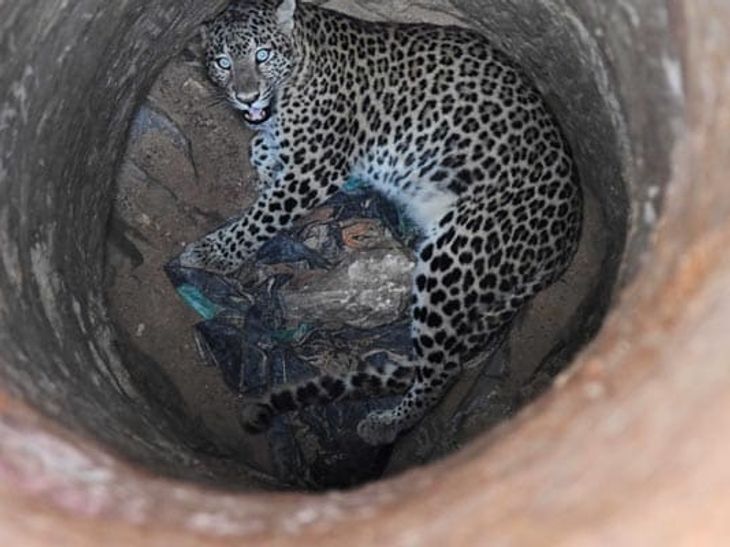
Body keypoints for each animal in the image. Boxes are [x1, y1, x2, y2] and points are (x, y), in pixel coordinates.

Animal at [179, 0, 583, 446]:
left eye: (262, 55)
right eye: (222, 62)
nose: (245, 95)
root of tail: (567, 239)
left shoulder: (315, 168)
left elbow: (262, 216)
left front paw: (211, 253)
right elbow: (259, 151)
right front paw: (264, 168)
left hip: (453, 255)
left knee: (442, 370)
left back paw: (386, 424)